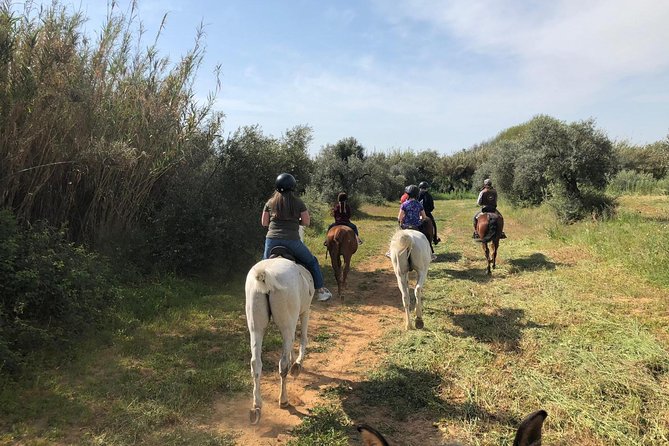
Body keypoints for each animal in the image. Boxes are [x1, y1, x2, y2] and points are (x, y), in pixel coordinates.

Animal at [244, 253, 314, 424]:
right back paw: (283, 400)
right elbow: (303, 338)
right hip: (287, 323)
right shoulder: (305, 311)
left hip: (256, 327)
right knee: (283, 364)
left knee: (255, 363)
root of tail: (264, 276)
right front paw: (297, 364)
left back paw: (256, 406)